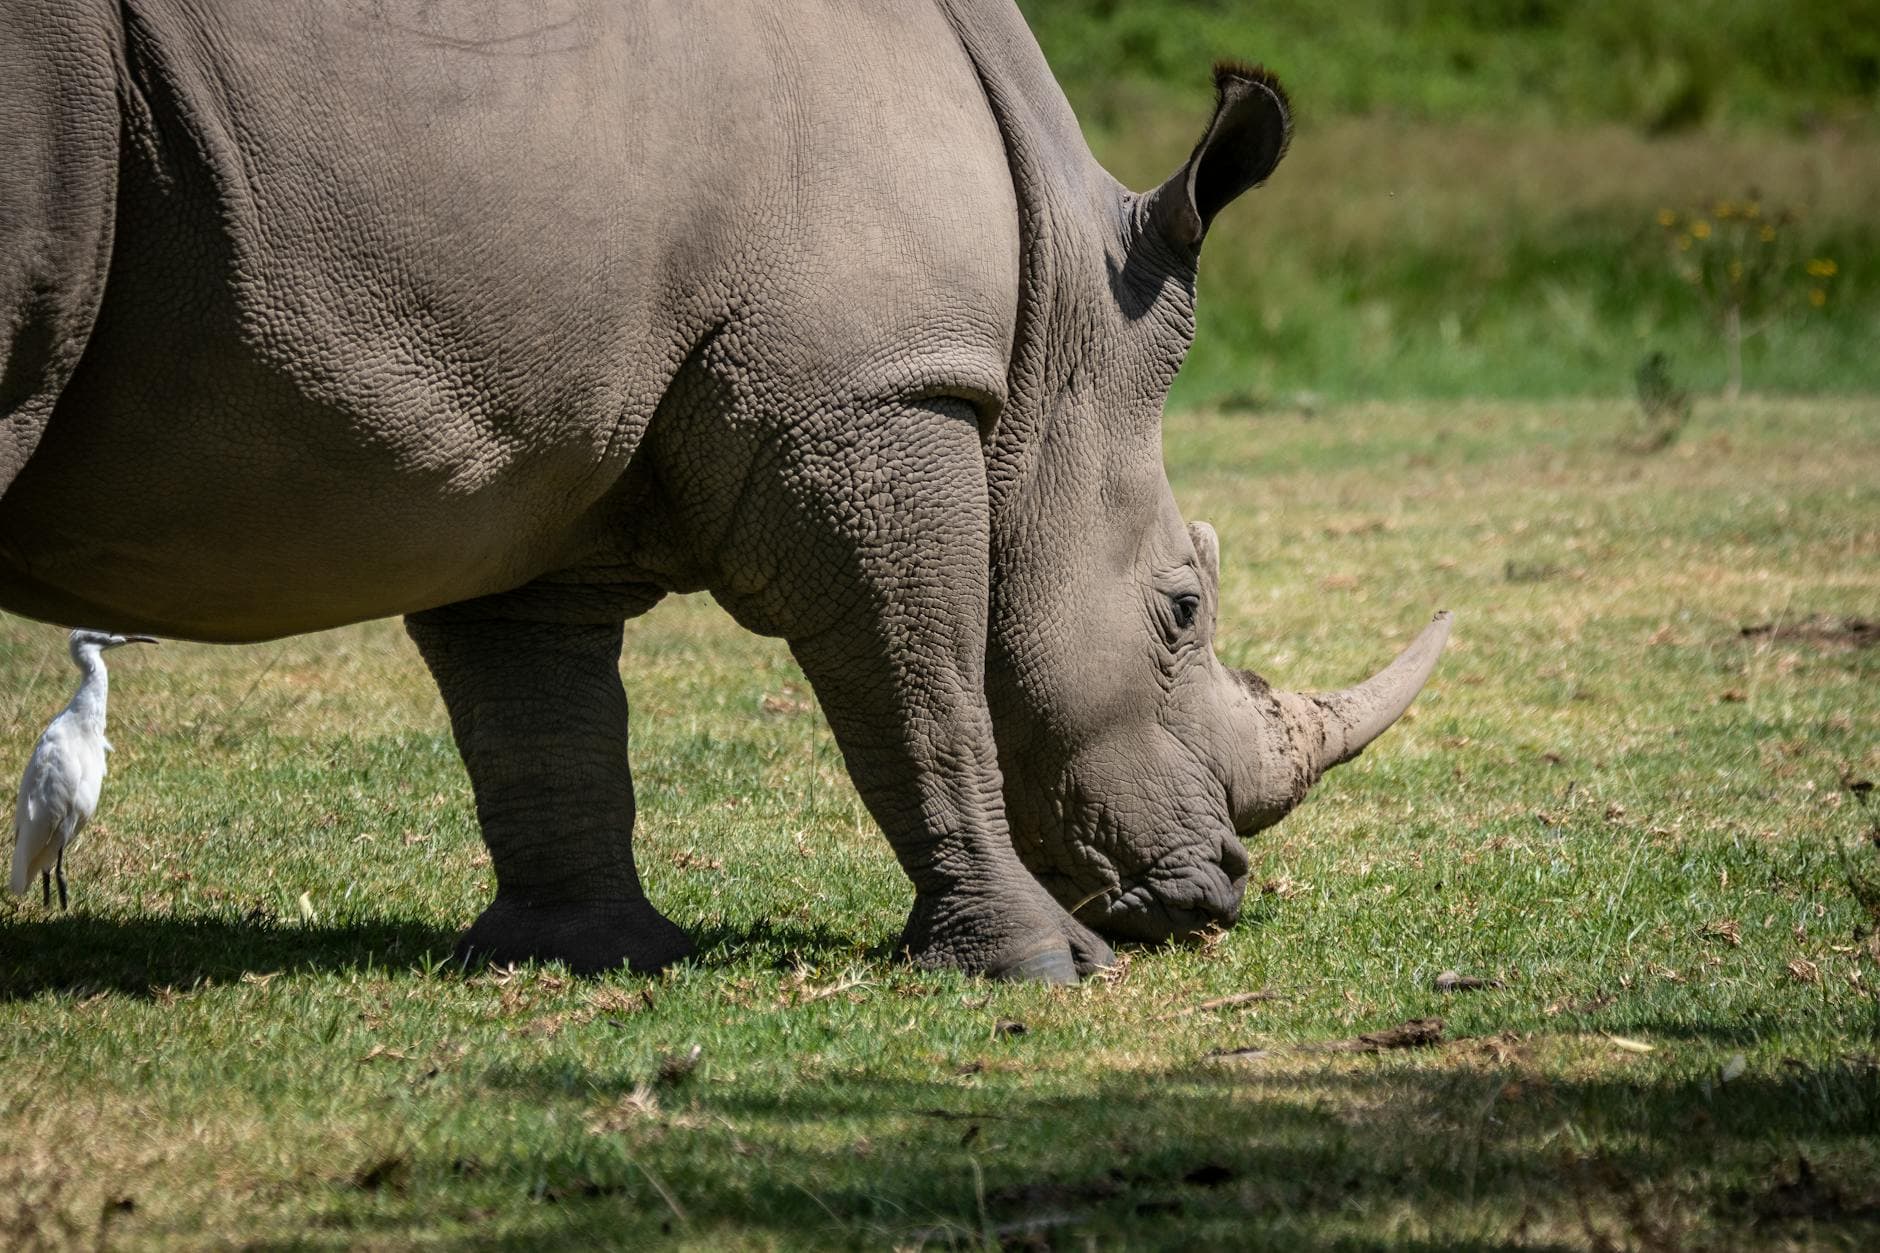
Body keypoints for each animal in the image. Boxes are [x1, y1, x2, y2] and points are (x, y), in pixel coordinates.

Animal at [1, 0, 1449, 982]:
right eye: (1181, 608)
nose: (1221, 895)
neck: (1054, 322)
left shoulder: (524, 414)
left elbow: (541, 711)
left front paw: (587, 954)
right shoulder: (871, 395)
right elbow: (922, 681)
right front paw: (1041, 966)